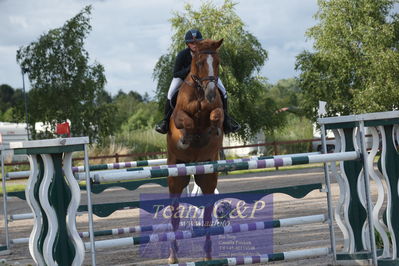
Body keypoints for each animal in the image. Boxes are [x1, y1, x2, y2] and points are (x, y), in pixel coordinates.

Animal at [167, 38, 225, 262]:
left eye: (217, 62)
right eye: (199, 63)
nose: (210, 93)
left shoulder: (217, 110)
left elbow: (216, 115)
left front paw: (213, 129)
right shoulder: (179, 117)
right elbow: (188, 122)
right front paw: (186, 139)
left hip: (208, 176)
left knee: (208, 214)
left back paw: (208, 254)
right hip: (175, 177)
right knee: (175, 214)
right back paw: (173, 255)